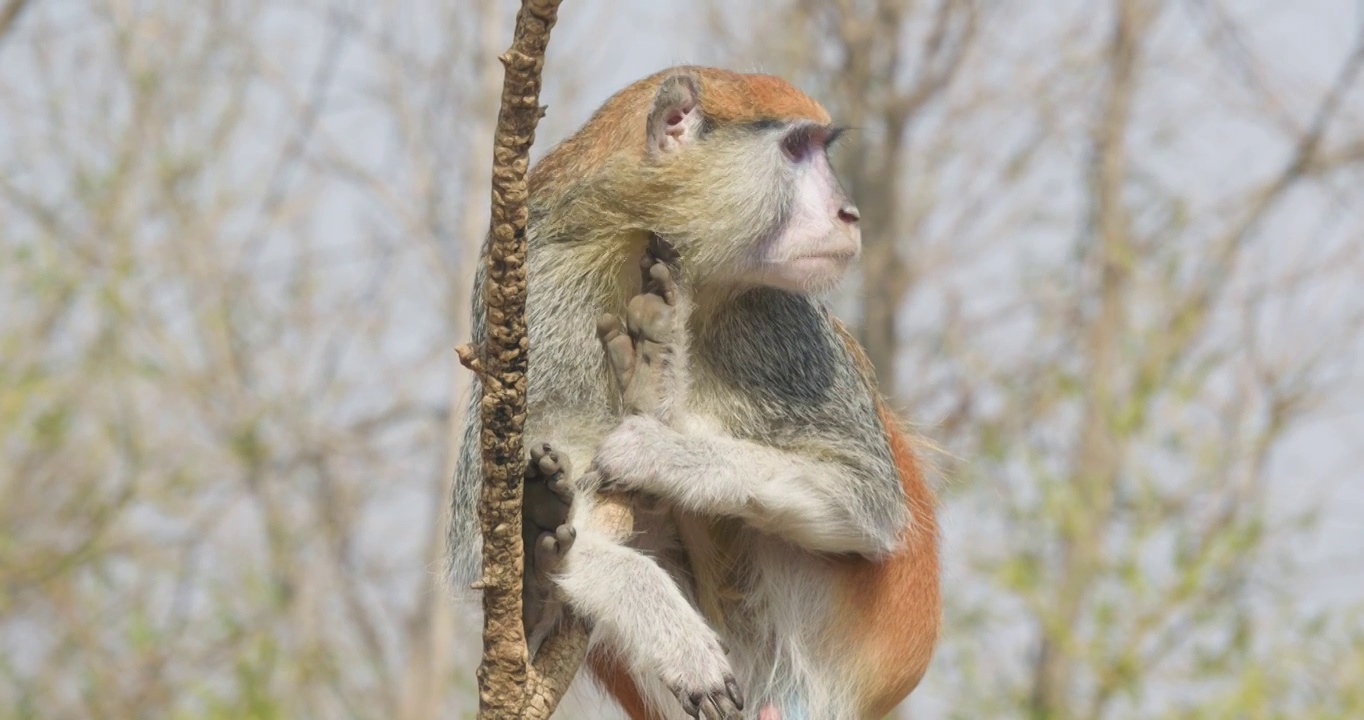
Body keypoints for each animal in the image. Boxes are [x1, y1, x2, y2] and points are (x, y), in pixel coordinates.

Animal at [452, 67, 943, 720]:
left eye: (820, 147)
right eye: (795, 148)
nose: (849, 214)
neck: (641, 233)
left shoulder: (785, 324)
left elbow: (865, 500)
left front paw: (658, 444)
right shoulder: (532, 284)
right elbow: (485, 534)